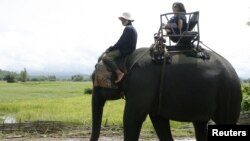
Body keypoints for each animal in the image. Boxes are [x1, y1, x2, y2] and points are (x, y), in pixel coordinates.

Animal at [90, 46, 242, 140]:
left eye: (93, 79)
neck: (126, 58)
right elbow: (159, 121)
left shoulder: (142, 83)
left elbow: (132, 118)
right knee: (200, 124)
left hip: (228, 94)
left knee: (225, 122)